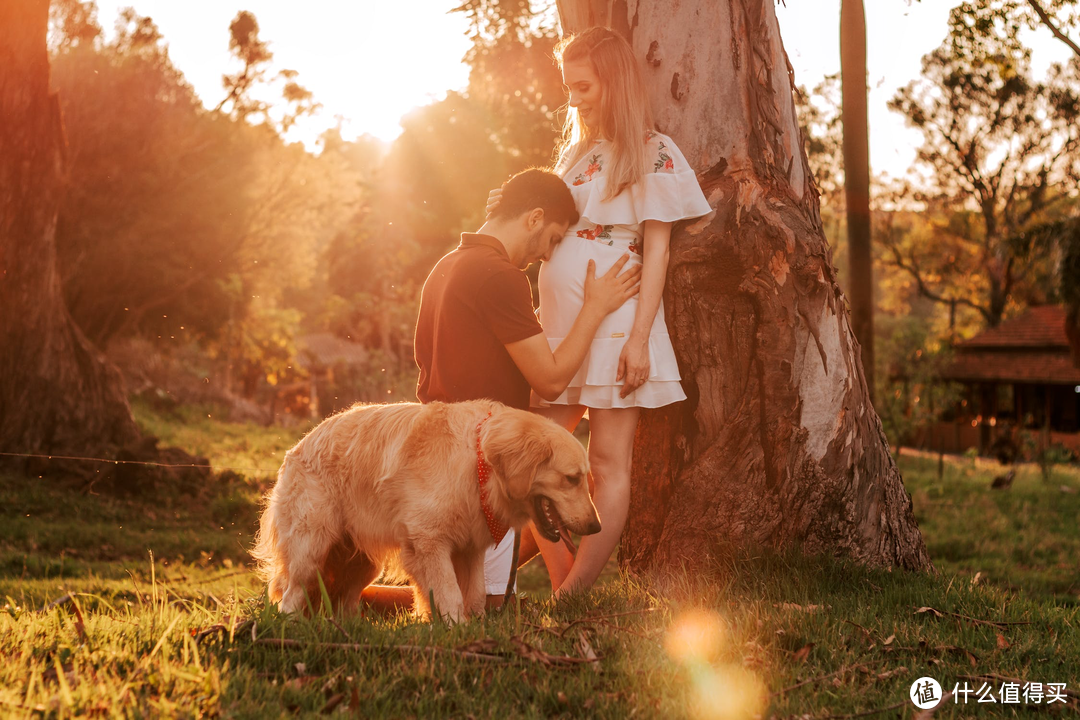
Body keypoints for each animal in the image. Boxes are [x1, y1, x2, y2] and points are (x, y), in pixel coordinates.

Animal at [257, 397, 604, 621]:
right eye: (571, 479)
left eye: (583, 479)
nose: (597, 528)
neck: (479, 462)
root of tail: (296, 448)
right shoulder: (429, 542)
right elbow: (450, 593)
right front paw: (456, 629)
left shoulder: (469, 548)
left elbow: (474, 593)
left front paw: (473, 628)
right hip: (311, 547)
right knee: (291, 595)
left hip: (362, 563)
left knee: (343, 599)